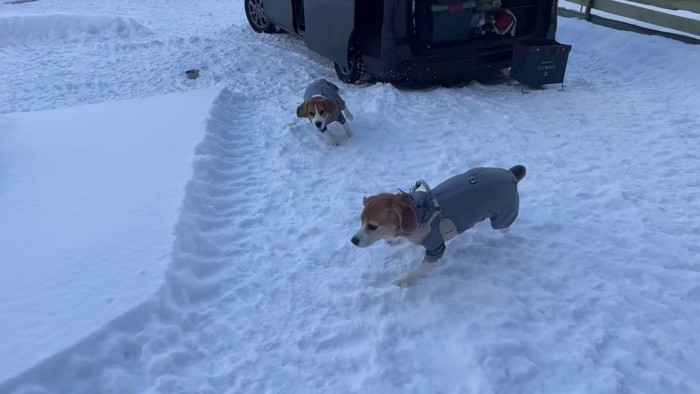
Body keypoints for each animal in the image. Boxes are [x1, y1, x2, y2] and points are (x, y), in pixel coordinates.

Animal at [350, 165, 524, 288]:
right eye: (361, 221)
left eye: (372, 226)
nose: (353, 240)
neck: (418, 212)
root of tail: (510, 174)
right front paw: (395, 240)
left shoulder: (435, 249)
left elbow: (419, 269)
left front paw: (405, 279)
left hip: (503, 217)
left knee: (505, 228)